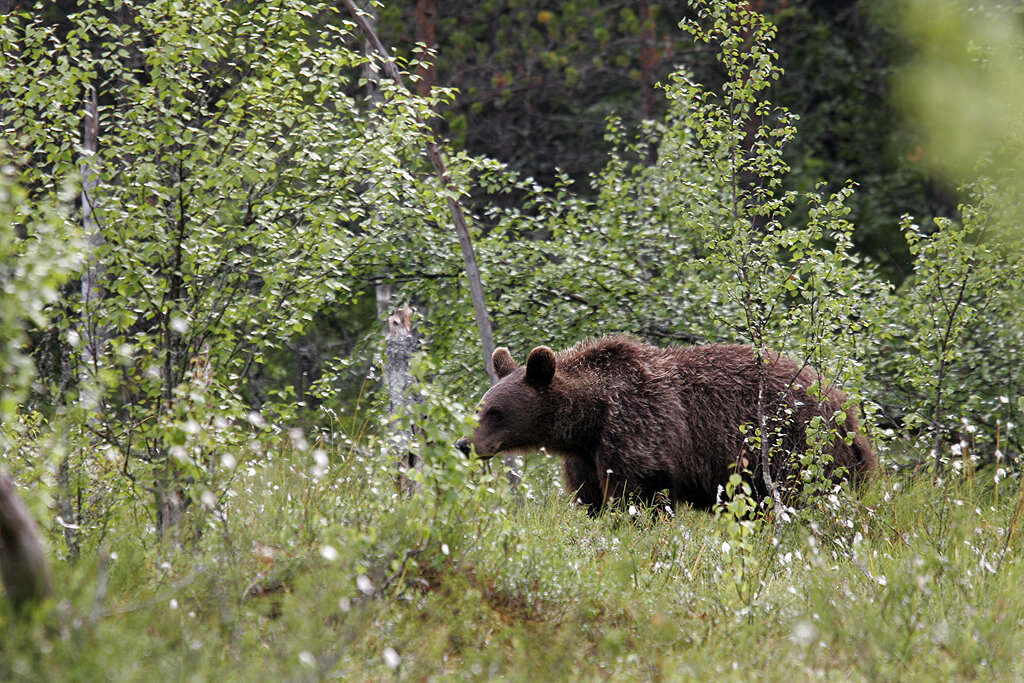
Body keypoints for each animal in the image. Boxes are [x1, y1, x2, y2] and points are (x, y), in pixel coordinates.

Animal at [456, 335, 872, 511]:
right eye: (481, 407)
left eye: (495, 412)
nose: (465, 444)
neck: (590, 418)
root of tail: (843, 403)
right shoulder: (585, 457)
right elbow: (590, 498)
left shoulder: (639, 429)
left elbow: (639, 494)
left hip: (798, 445)